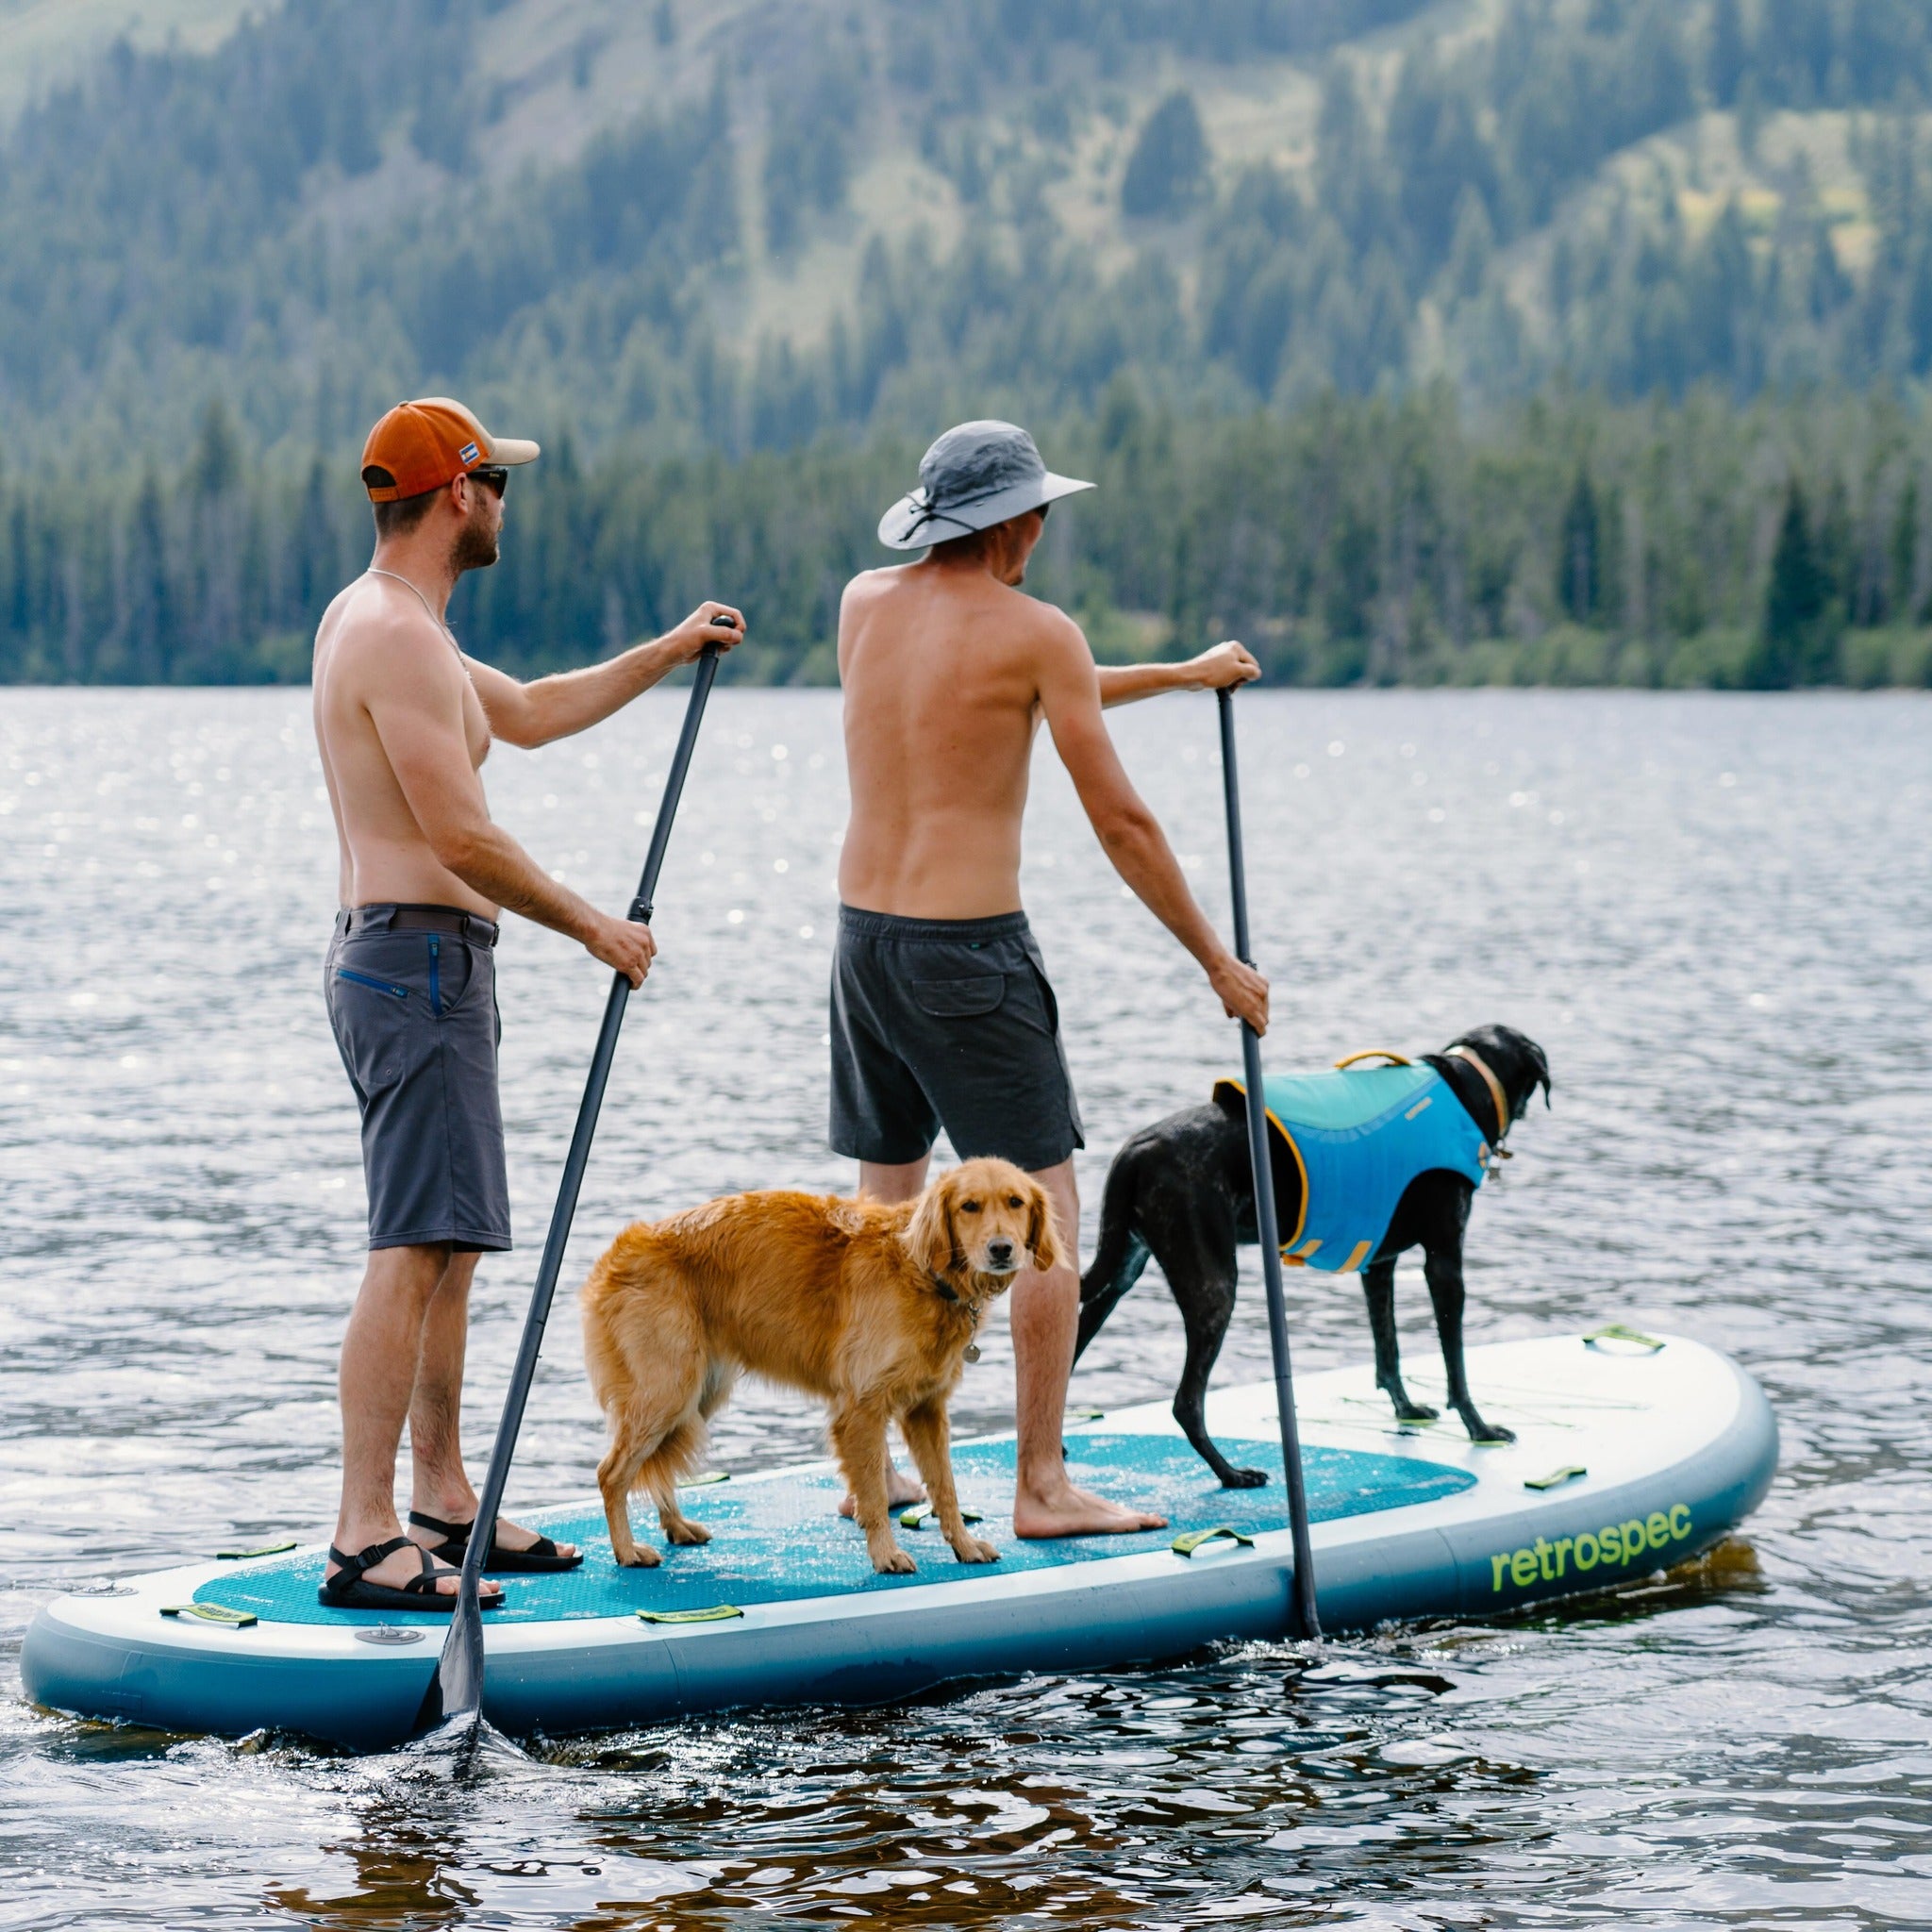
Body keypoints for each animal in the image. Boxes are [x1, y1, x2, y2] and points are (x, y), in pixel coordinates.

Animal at [1081, 1020, 1545, 1483]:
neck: (1469, 1080)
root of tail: (1136, 1149)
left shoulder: (1379, 1265)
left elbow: (1388, 1350)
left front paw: (1406, 1409)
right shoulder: (1445, 1263)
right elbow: (1456, 1367)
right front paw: (1480, 1429)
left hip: (1116, 1278)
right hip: (1214, 1291)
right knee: (1186, 1403)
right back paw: (1231, 1474)